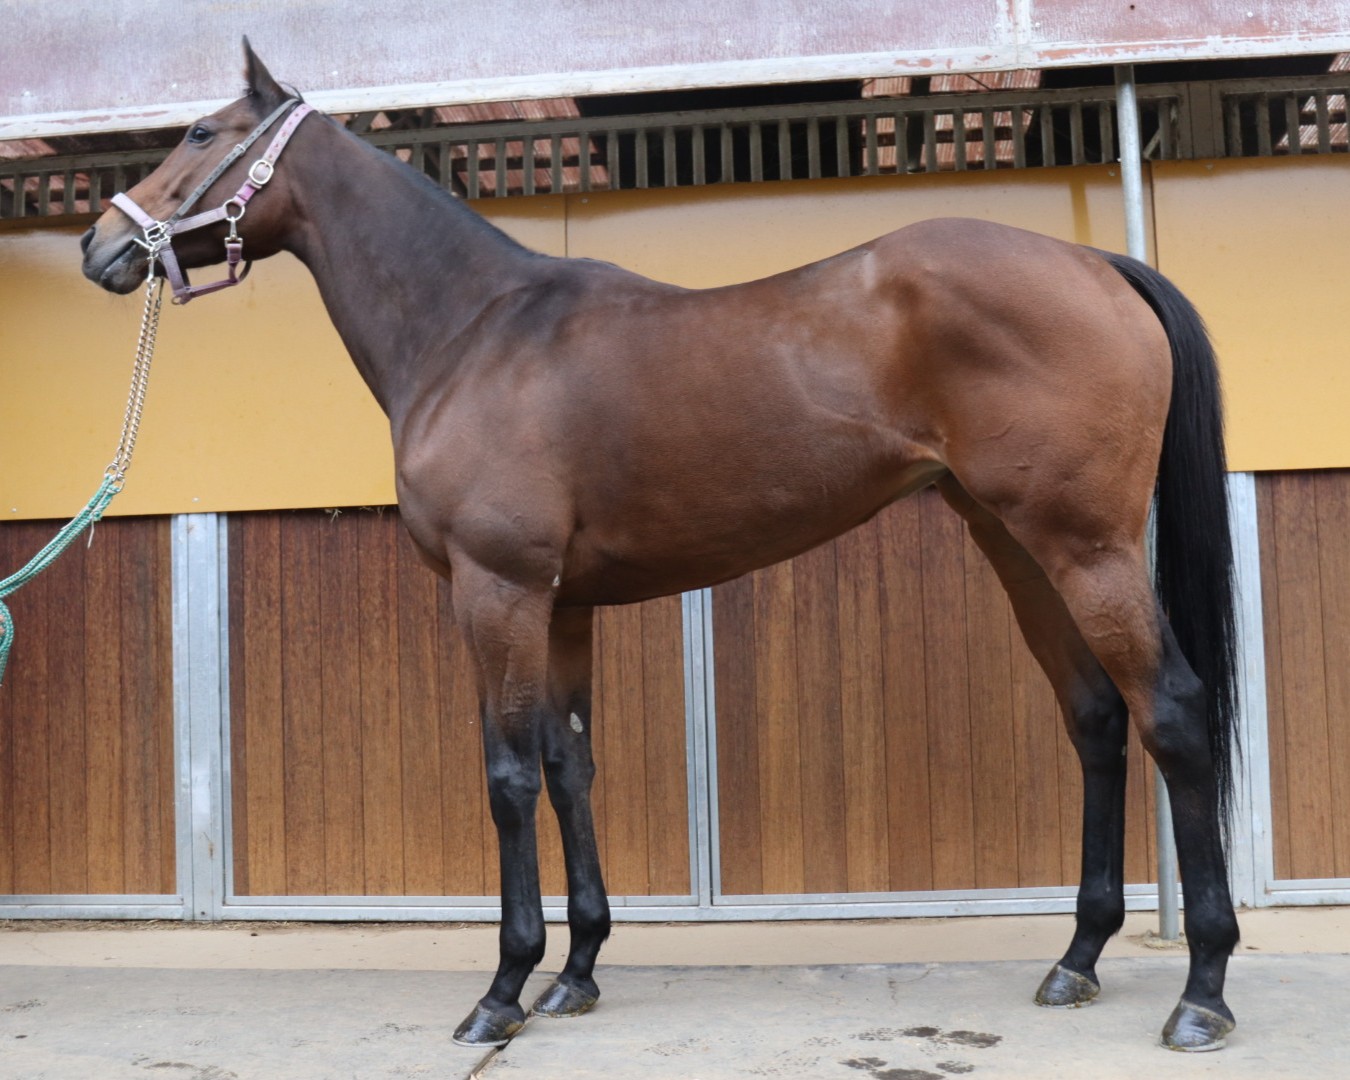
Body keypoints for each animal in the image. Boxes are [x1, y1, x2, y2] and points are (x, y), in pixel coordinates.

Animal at [81, 41, 1241, 1052]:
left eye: (199, 131)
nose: (100, 246)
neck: (475, 332)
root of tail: (1094, 262)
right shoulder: (561, 604)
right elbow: (569, 767)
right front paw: (577, 971)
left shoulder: (496, 592)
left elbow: (509, 775)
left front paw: (503, 989)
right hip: (1017, 546)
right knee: (1095, 718)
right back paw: (1077, 958)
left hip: (1086, 547)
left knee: (1173, 714)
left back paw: (1202, 992)